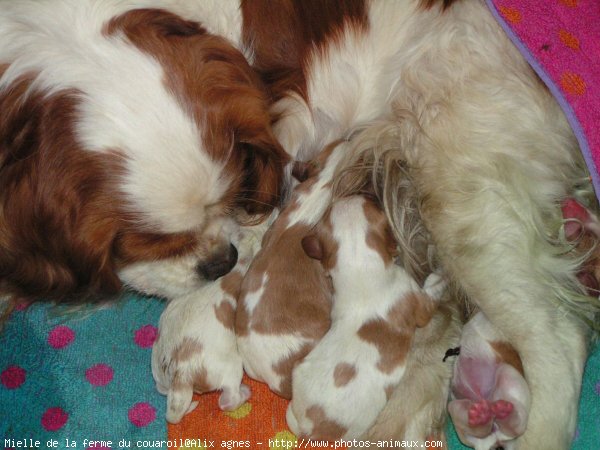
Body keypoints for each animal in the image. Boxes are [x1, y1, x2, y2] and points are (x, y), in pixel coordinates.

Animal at [154, 222, 268, 426]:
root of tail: (181, 374)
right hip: (231, 366)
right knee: (228, 400)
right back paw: (244, 393)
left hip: (157, 364)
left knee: (162, 389)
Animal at [286, 194, 446, 440]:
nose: (361, 193)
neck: (358, 265)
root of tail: (309, 427)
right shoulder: (417, 302)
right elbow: (430, 293)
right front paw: (440, 277)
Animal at [450, 312, 528, 450]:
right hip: (455, 406)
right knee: (481, 429)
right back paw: (481, 416)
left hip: (507, 373)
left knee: (518, 425)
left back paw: (499, 413)